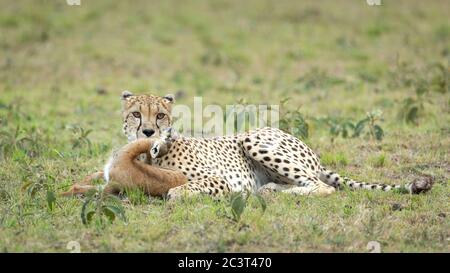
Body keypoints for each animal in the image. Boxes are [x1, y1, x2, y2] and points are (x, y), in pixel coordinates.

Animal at [63, 90, 432, 199]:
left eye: (161, 115)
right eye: (137, 114)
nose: (149, 132)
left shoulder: (219, 181)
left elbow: (183, 189)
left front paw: (175, 194)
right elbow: (89, 181)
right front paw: (69, 188)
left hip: (253, 138)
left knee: (322, 187)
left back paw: (276, 192)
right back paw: (270, 189)